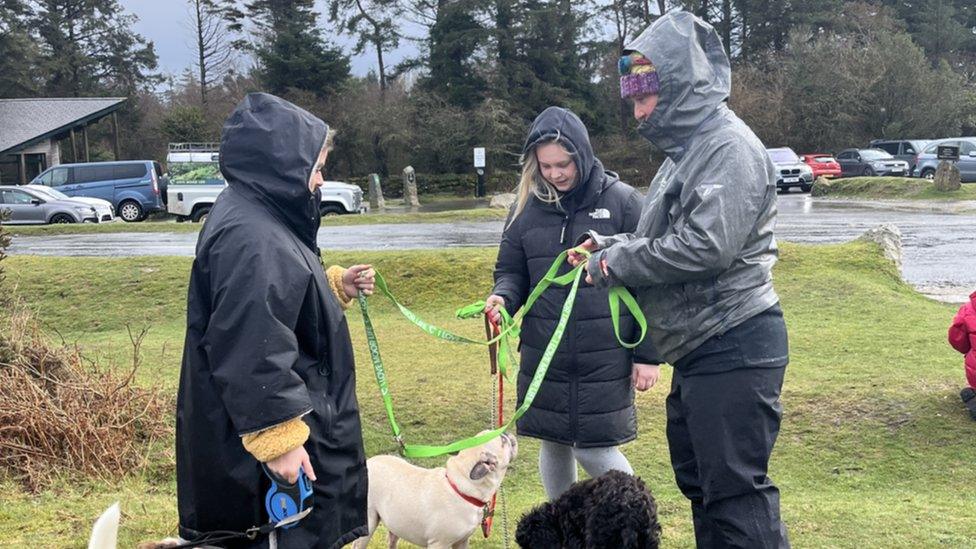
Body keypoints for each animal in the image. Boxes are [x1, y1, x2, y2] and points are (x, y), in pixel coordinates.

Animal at [352, 430, 520, 544]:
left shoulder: (461, 542)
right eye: (503, 440)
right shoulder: (440, 543)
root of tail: (368, 463)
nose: (507, 433)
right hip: (369, 522)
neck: (460, 486)